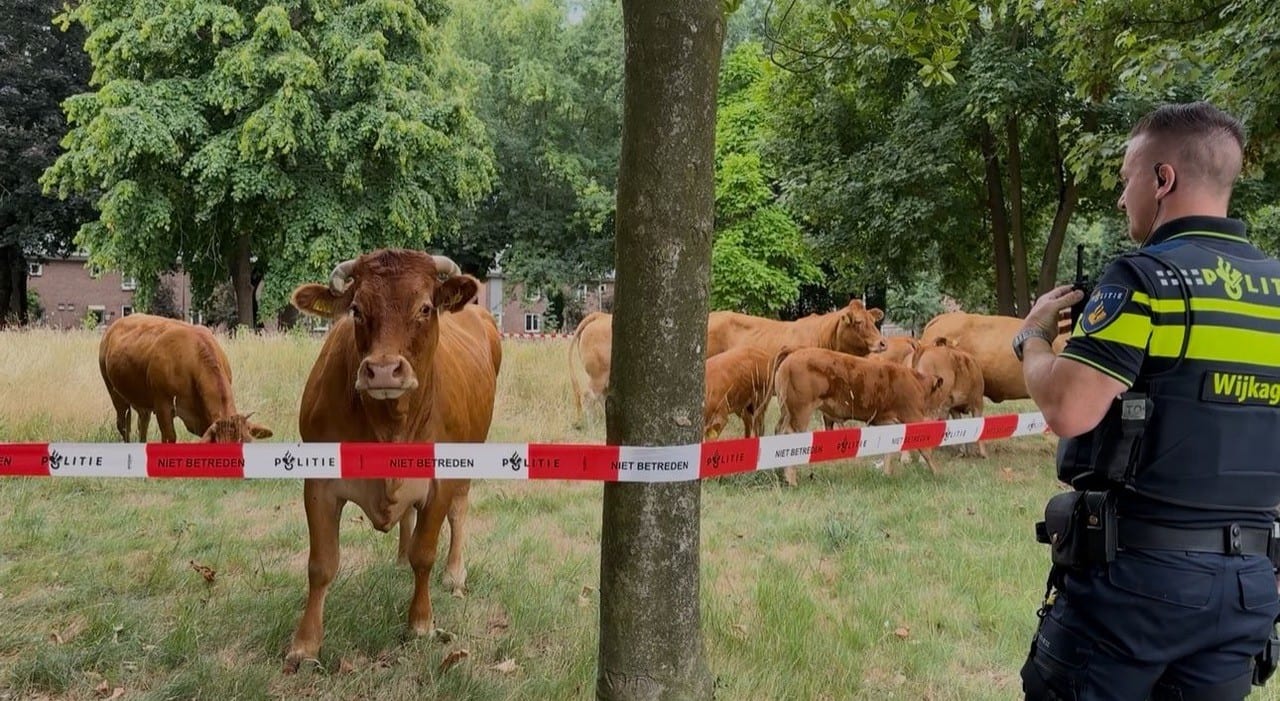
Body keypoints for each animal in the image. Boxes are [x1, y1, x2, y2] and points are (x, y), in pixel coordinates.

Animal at [98, 313, 273, 443]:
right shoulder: (163, 404)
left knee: (142, 423)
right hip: (114, 391)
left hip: (142, 400)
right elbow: (169, 437)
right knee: (124, 425)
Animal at [284, 249, 502, 672]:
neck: (390, 425)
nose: (383, 370)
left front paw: (420, 622)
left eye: (425, 308)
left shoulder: (440, 481)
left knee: (458, 512)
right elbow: (321, 565)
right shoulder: (319, 482)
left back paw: (454, 574)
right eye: (356, 309)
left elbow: (425, 553)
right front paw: (305, 645)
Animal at [770, 346, 947, 484]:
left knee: (778, 432)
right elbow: (925, 449)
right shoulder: (911, 416)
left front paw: (886, 474)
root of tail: (794, 352)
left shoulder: (888, 423)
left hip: (786, 411)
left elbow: (889, 451)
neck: (917, 384)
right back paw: (791, 480)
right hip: (800, 412)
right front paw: (938, 473)